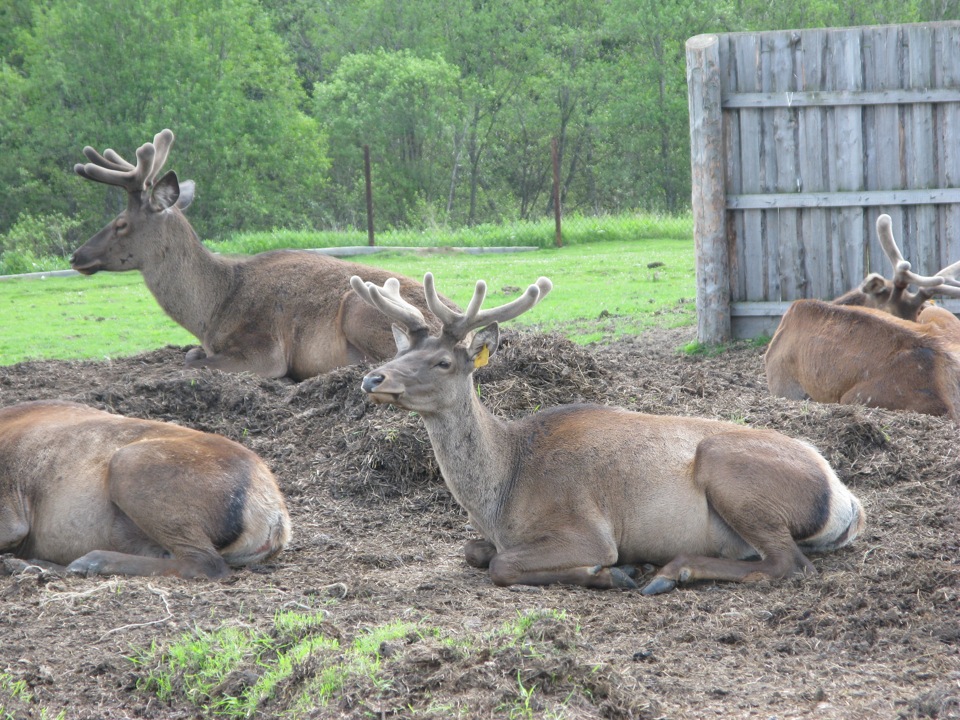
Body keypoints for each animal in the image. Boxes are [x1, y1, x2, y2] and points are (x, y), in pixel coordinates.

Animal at [71, 129, 454, 382]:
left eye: (120, 223)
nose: (77, 256)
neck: (211, 311)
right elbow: (191, 353)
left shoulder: (263, 349)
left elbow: (191, 362)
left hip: (361, 309)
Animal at [348, 272, 868, 592]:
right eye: (400, 352)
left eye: (442, 361)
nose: (373, 378)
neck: (500, 497)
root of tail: (845, 500)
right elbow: (473, 551)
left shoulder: (586, 529)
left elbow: (500, 564)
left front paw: (617, 572)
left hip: (733, 474)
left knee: (788, 563)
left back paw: (670, 571)